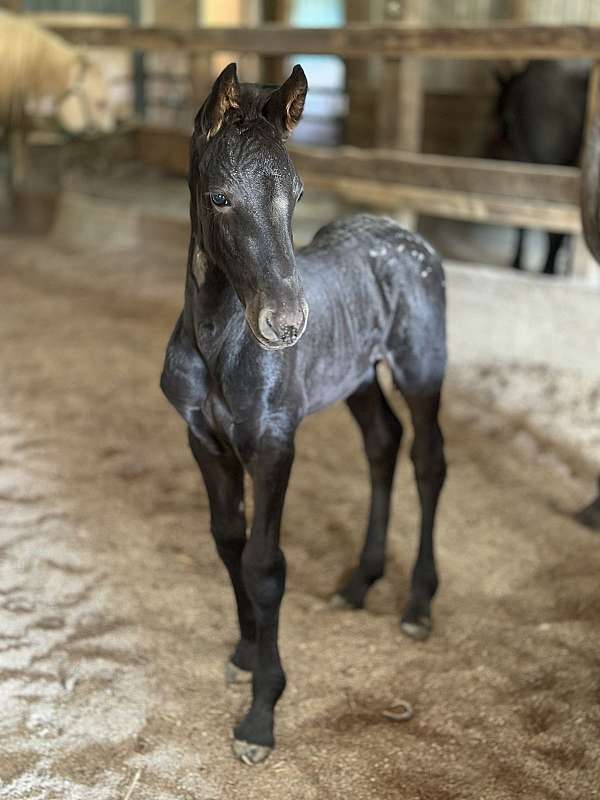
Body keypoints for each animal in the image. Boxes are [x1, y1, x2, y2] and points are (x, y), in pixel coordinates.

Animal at [162, 62, 448, 764]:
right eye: (219, 198)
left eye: (294, 194)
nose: (288, 325)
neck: (219, 343)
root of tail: (409, 239)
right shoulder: (204, 441)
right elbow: (229, 542)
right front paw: (243, 653)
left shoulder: (273, 446)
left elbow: (266, 567)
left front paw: (261, 714)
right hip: (357, 379)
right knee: (383, 443)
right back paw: (359, 582)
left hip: (421, 367)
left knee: (427, 459)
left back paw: (417, 605)